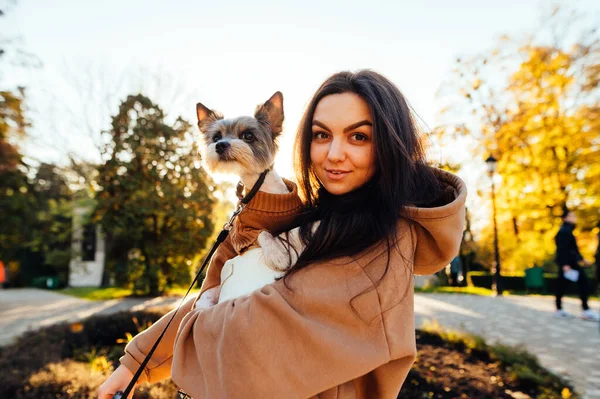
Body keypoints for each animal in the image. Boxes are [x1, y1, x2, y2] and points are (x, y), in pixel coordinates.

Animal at [193, 93, 302, 306]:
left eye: (248, 136)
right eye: (216, 137)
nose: (220, 145)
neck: (264, 191)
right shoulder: (240, 234)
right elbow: (262, 233)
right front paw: (277, 255)